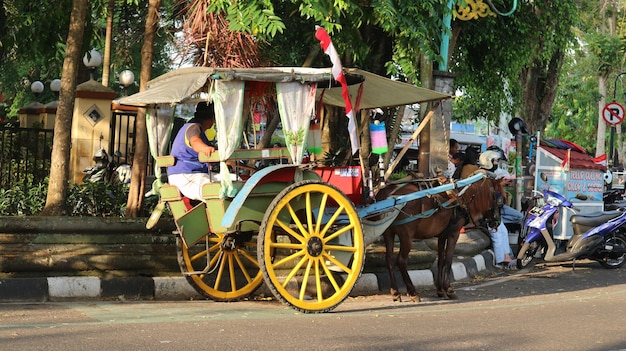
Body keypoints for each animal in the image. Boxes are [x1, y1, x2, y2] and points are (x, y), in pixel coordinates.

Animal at [372, 173, 500, 302]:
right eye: (499, 198)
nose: (497, 222)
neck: (461, 195)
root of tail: (386, 194)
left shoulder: (442, 235)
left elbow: (441, 261)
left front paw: (440, 290)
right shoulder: (454, 233)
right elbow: (448, 260)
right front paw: (449, 289)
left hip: (388, 232)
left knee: (388, 259)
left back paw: (395, 292)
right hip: (406, 236)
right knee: (401, 261)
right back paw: (412, 292)